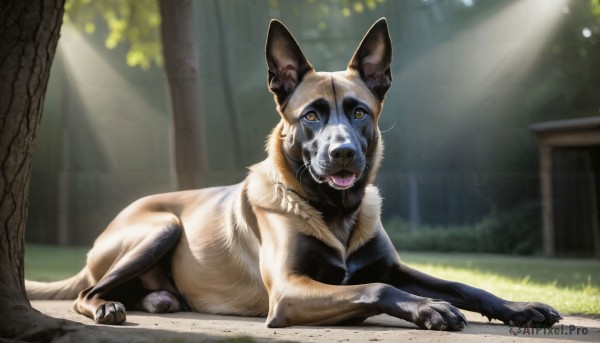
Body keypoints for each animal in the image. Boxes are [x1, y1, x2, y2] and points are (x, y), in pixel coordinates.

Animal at [27, 18, 564, 330]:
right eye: (311, 115)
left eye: (359, 112)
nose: (343, 154)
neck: (335, 212)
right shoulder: (288, 290)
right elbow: (375, 289)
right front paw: (427, 308)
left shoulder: (389, 265)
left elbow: (459, 285)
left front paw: (520, 308)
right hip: (162, 225)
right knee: (87, 293)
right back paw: (106, 307)